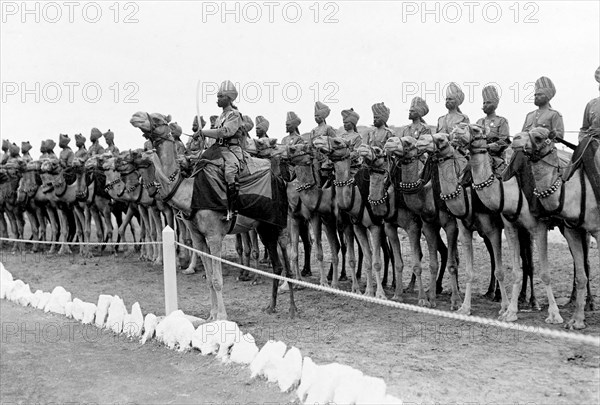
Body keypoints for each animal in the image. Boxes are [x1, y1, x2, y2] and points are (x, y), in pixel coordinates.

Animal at [130, 112, 294, 320]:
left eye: (158, 119)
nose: (136, 116)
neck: (189, 193)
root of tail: (281, 180)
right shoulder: (199, 237)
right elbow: (208, 278)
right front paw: (211, 316)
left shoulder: (214, 235)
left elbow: (217, 279)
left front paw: (222, 316)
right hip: (264, 226)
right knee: (277, 264)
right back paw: (271, 306)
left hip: (278, 223)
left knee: (286, 256)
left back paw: (292, 307)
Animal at [414, 134, 508, 314]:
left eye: (442, 139)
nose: (420, 141)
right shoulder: (436, 226)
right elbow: (437, 264)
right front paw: (433, 299)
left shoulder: (459, 227)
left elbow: (454, 263)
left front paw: (456, 301)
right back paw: (489, 293)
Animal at [454, 124, 568, 324]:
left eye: (476, 129)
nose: (456, 130)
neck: (510, 192)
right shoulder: (510, 227)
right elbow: (515, 271)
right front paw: (510, 312)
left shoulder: (537, 227)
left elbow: (544, 272)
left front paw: (554, 315)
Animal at [512, 129, 596, 328]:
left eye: (539, 137)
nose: (516, 139)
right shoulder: (571, 229)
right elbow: (580, 275)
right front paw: (576, 321)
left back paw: (589, 303)